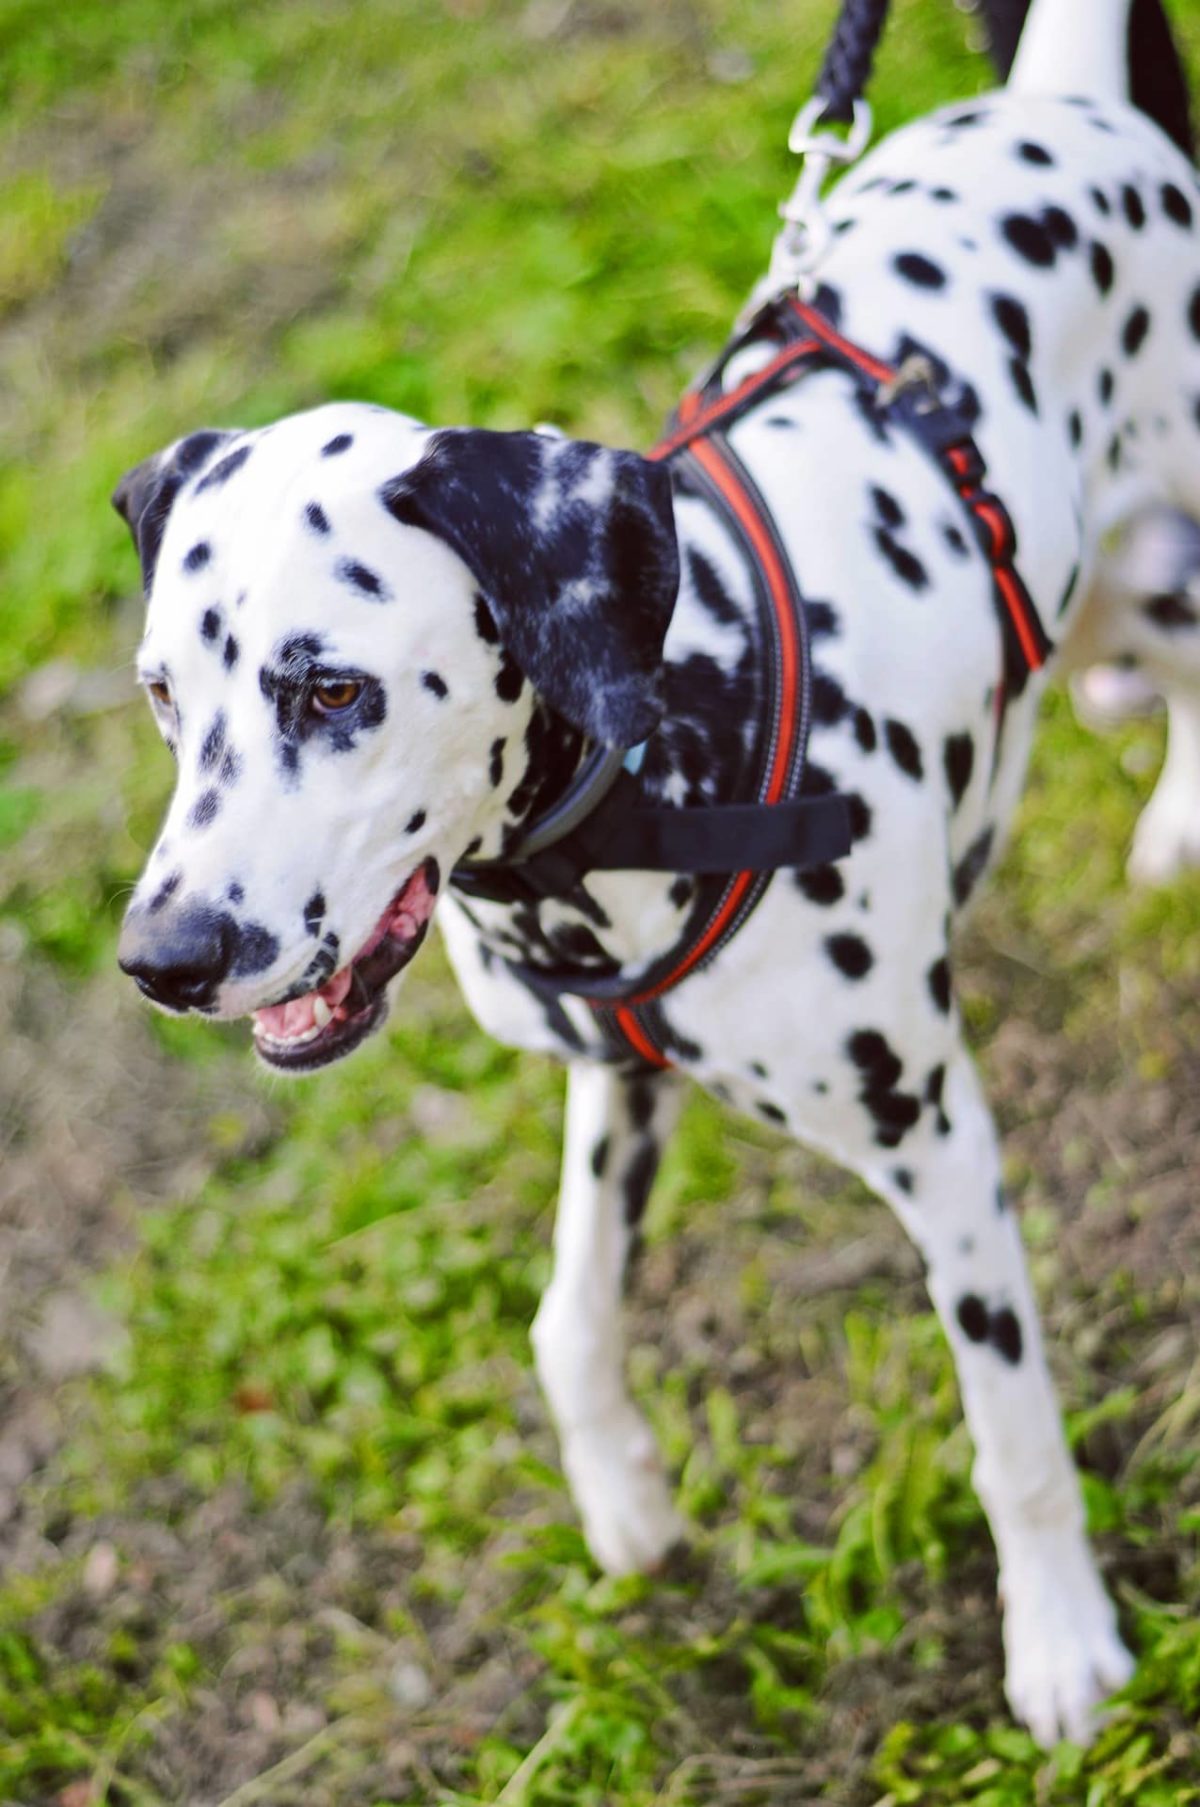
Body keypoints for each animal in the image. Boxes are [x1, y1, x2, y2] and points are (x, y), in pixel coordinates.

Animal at [114, 0, 1200, 1756]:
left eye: (331, 687)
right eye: (161, 692)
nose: (167, 953)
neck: (679, 730)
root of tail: (1071, 106)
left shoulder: (941, 1144)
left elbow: (1013, 1429)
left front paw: (1063, 1643)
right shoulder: (613, 1085)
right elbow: (567, 1324)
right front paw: (626, 1503)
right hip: (1085, 585)